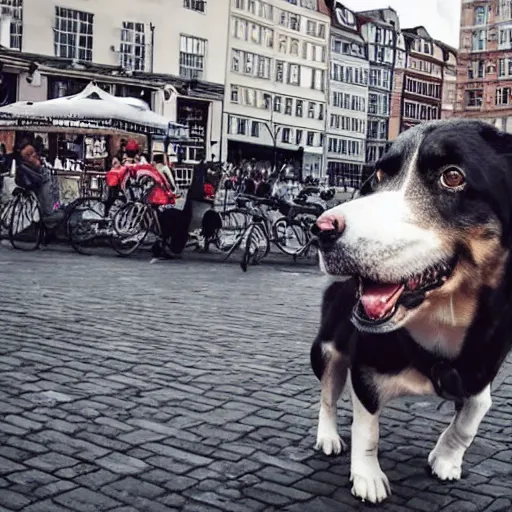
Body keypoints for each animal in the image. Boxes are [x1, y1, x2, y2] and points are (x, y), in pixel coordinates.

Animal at [310, 119, 512, 504]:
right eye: (376, 175)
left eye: (452, 177)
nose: (321, 229)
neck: (443, 317)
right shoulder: (364, 370)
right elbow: (367, 430)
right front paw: (368, 477)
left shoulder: (481, 369)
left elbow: (473, 415)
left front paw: (445, 458)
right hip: (327, 349)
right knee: (328, 394)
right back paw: (328, 437)